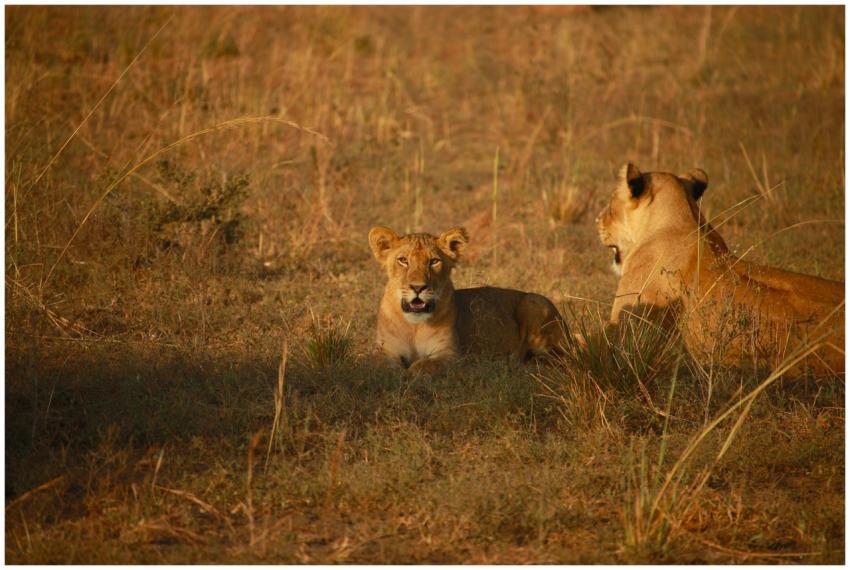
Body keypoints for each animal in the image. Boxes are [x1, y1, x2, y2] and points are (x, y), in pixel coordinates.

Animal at [368, 226, 566, 375]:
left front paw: (408, 374)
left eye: (434, 261)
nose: (418, 287)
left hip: (534, 302)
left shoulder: (450, 355)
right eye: (403, 260)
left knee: (556, 360)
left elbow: (423, 365)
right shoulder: (384, 350)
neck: (413, 326)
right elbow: (380, 365)